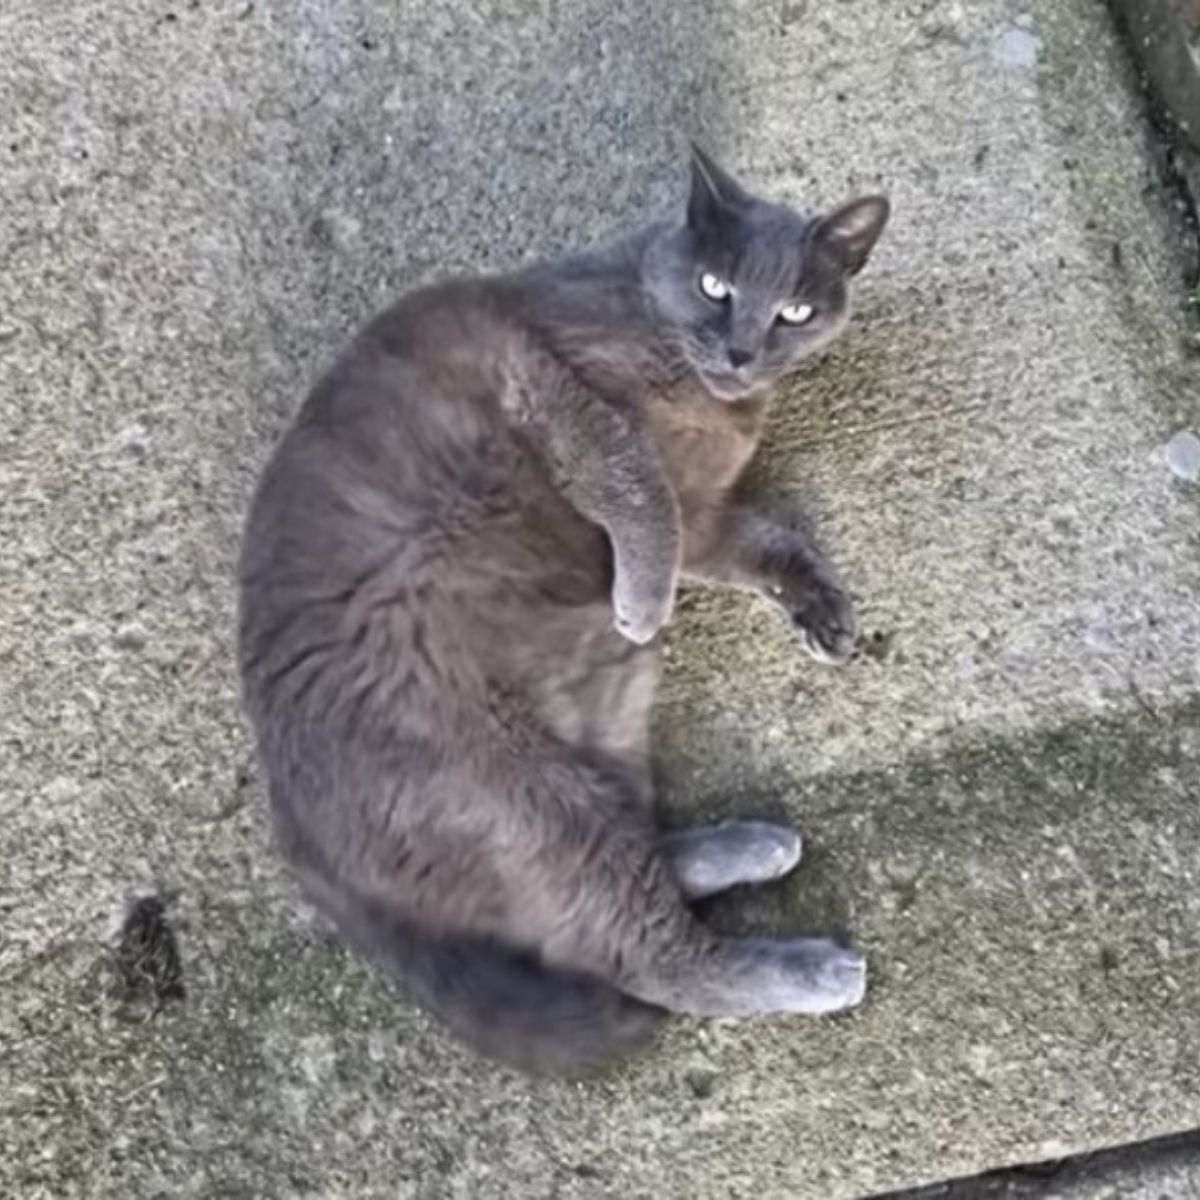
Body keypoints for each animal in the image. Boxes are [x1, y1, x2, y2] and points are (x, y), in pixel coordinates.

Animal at [238, 145, 888, 1075]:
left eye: (794, 310)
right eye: (717, 286)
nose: (738, 350)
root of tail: (304, 852)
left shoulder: (707, 511)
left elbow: (767, 541)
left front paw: (823, 613)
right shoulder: (557, 387)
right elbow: (637, 486)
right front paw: (643, 602)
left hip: (592, 746)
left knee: (619, 877)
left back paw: (752, 845)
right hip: (518, 796)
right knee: (649, 957)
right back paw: (818, 969)